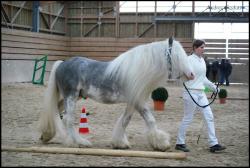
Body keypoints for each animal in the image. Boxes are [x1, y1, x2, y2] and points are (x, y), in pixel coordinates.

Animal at [38, 36, 194, 151]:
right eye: (177, 56)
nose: (191, 74)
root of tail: (62, 63)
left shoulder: (133, 101)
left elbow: (125, 120)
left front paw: (119, 143)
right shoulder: (138, 101)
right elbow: (150, 120)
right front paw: (161, 143)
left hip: (70, 97)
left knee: (56, 111)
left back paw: (46, 135)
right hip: (71, 96)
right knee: (68, 120)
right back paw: (80, 142)